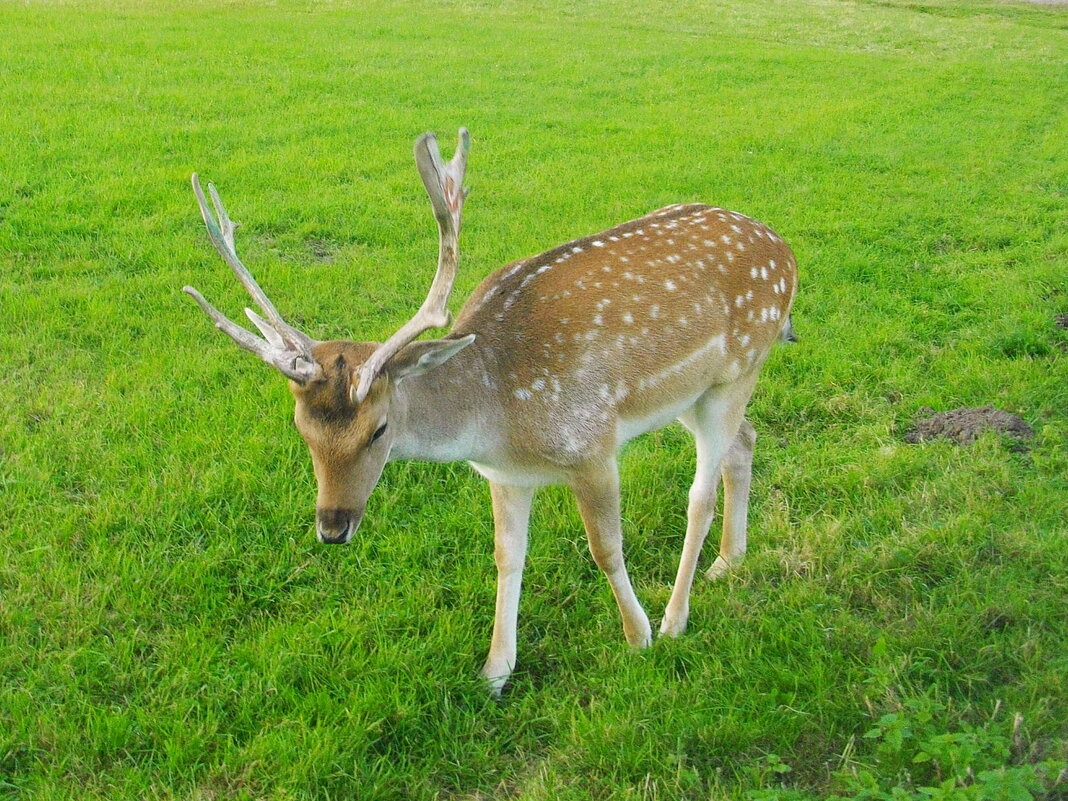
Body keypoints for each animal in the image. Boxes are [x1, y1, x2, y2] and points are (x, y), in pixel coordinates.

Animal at [183, 127, 798, 696]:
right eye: (302, 430)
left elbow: (605, 549)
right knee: (746, 440)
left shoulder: (592, 445)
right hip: (694, 395)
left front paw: (637, 637)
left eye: (379, 431)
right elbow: (507, 556)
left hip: (738, 369)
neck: (498, 419)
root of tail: (786, 251)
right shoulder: (505, 475)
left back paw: (675, 618)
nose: (333, 528)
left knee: (701, 492)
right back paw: (728, 563)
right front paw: (495, 671)